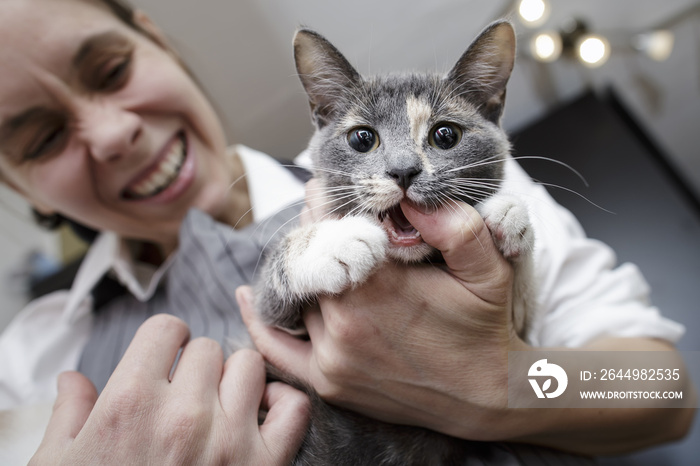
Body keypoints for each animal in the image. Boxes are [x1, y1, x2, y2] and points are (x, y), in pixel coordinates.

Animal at [254, 19, 532, 466]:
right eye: (362, 138)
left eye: (445, 135)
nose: (403, 171)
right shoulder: (272, 322)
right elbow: (271, 291)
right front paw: (338, 241)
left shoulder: (524, 330)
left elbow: (524, 311)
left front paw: (509, 212)